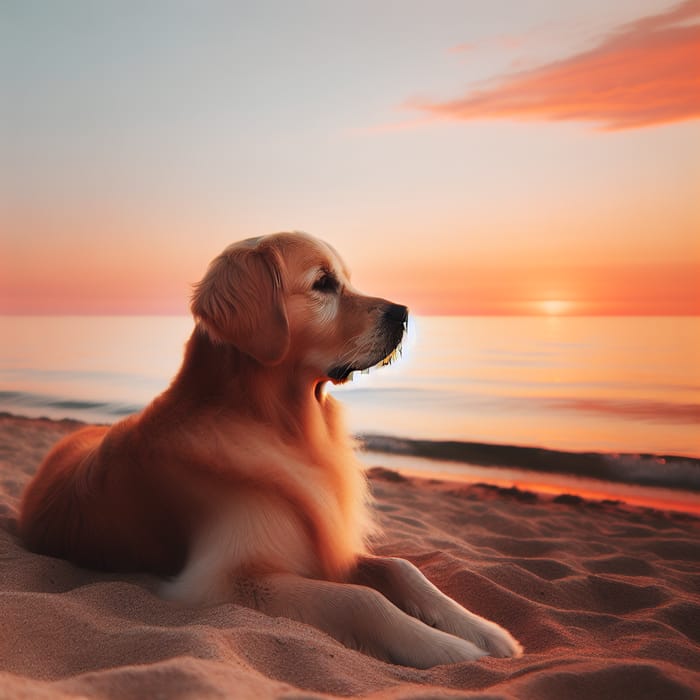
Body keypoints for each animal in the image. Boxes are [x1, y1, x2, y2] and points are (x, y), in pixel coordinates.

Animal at [17, 231, 520, 668]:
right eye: (323, 283)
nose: (403, 313)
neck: (285, 429)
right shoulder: (220, 582)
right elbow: (364, 598)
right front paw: (449, 650)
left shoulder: (324, 543)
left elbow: (401, 568)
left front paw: (486, 632)